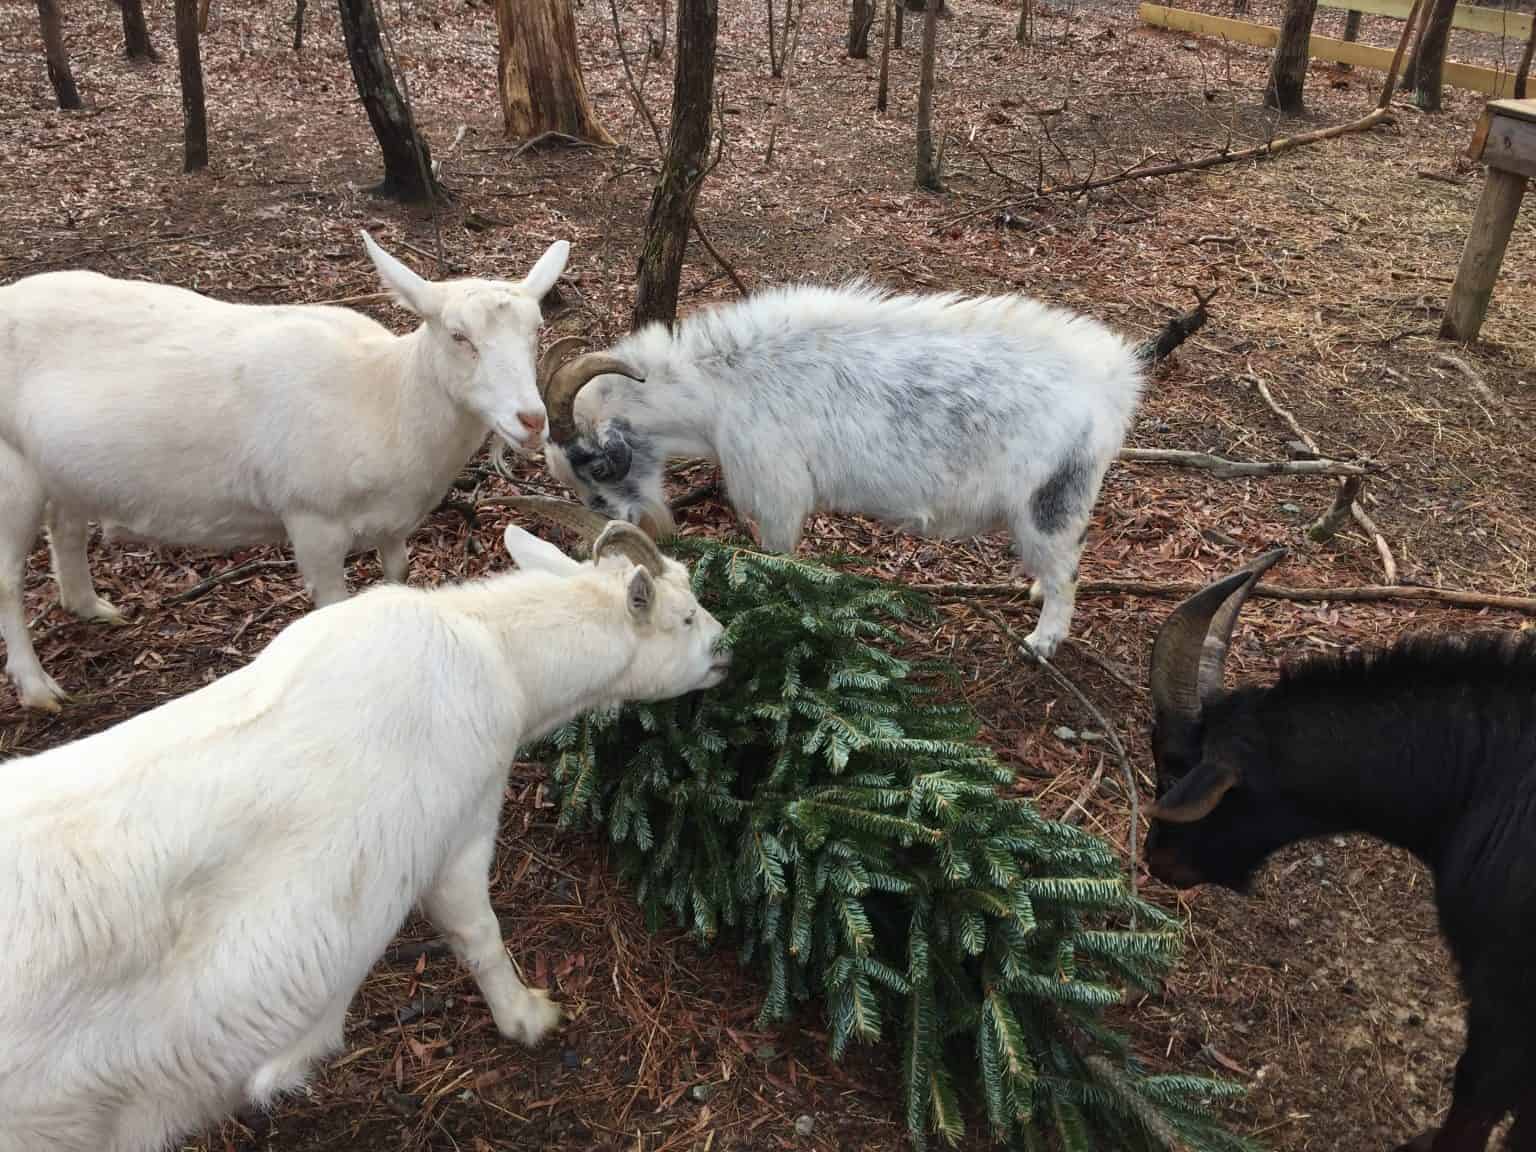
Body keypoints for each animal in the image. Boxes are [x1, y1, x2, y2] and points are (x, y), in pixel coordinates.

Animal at [0, 231, 568, 711]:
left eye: (536, 331)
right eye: (457, 336)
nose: (531, 420)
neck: (386, 396)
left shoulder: (394, 523)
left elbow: (399, 576)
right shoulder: (312, 521)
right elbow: (334, 607)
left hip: (62, 468)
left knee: (65, 527)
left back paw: (88, 606)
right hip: (11, 468)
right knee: (8, 578)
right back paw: (37, 687)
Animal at [0, 498, 729, 1152]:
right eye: (686, 614)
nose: (729, 647)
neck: (488, 645)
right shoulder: (459, 830)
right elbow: (478, 935)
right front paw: (529, 1016)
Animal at [537, 282, 1210, 657]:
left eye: (596, 467)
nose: (632, 526)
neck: (721, 384)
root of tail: (1113, 384)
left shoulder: (777, 493)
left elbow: (777, 560)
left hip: (1050, 496)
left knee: (1068, 568)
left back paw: (1043, 640)